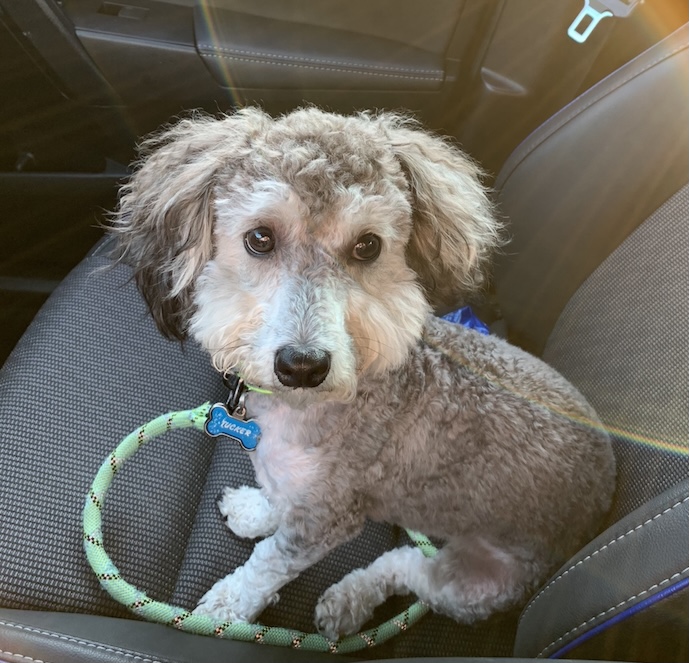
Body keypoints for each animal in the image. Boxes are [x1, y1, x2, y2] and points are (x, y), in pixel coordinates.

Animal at [112, 107, 615, 639]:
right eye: (259, 238)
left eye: (368, 246)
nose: (303, 366)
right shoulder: (300, 495)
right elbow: (276, 504)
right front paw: (254, 510)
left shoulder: (327, 519)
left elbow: (268, 564)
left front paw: (228, 607)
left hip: (475, 587)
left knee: (408, 568)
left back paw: (348, 600)